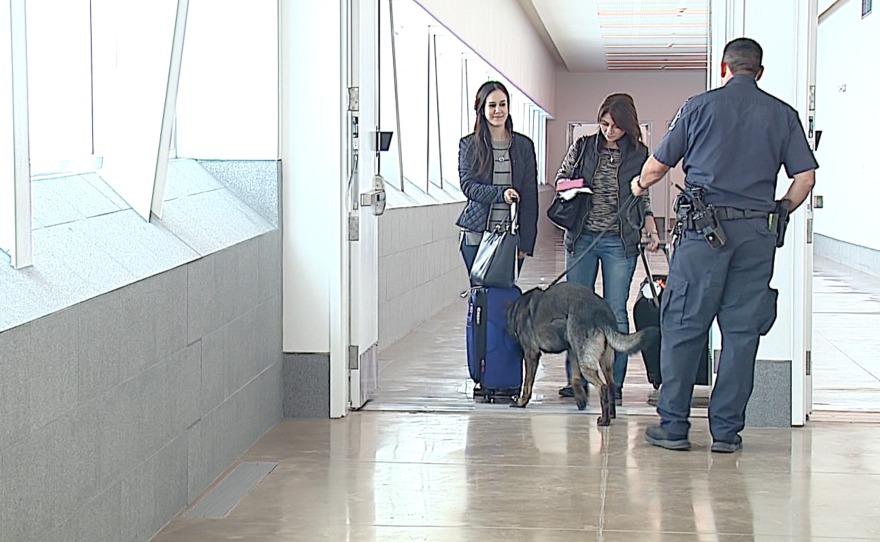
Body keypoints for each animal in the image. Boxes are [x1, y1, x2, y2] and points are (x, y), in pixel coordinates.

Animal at [506, 282, 656, 428]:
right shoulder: (572, 350)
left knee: (603, 387)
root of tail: (602, 314)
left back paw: (605, 420)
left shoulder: (531, 354)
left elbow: (527, 384)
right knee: (611, 384)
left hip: (586, 365)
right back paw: (612, 414)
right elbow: (575, 378)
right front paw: (580, 399)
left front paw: (521, 402)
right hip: (603, 362)